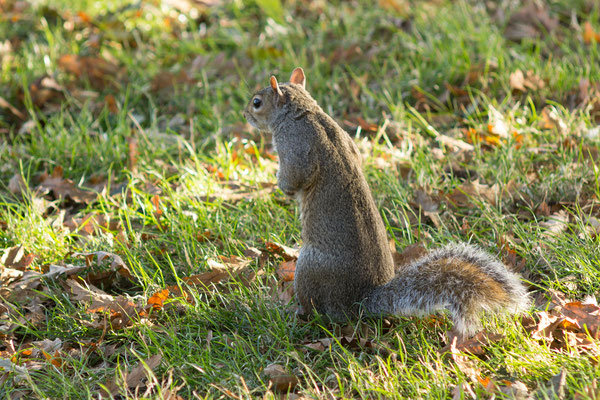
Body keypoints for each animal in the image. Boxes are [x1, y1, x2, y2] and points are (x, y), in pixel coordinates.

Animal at [241, 67, 528, 336]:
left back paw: (293, 313)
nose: (245, 115)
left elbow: (295, 177)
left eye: (257, 102)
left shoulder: (294, 146)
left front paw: (280, 186)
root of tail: (359, 302)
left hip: (308, 267)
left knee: (316, 310)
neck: (304, 111)